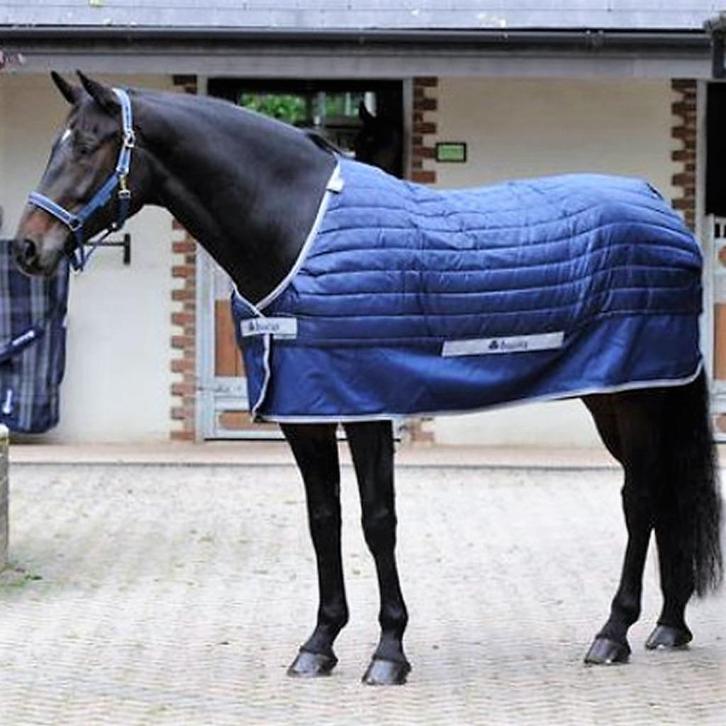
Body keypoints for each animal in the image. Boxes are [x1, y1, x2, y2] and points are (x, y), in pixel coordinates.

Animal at [13, 73, 723, 686]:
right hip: (615, 397)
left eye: (88, 145)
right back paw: (667, 625)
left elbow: (378, 521)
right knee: (659, 492)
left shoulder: (367, 404)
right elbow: (323, 518)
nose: (26, 248)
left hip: (636, 393)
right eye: (54, 145)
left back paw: (613, 632)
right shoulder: (305, 411)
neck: (297, 227)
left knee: (640, 498)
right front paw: (319, 645)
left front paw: (388, 651)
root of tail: (661, 209)